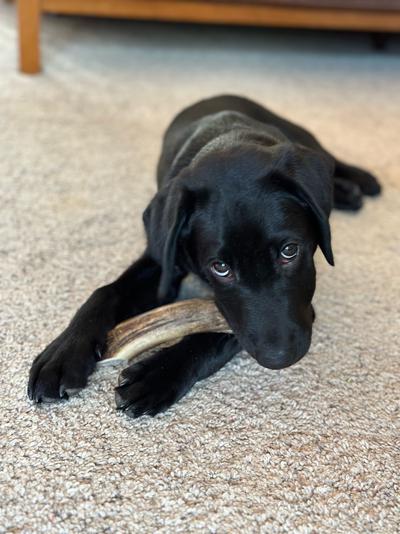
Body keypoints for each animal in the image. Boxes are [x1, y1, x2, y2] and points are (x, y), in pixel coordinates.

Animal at [28, 94, 382, 416]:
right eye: (220, 267)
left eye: (289, 251)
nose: (281, 358)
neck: (228, 137)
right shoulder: (162, 260)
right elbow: (104, 293)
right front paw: (62, 354)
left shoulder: (303, 303)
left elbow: (219, 333)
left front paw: (156, 375)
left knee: (331, 156)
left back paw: (361, 182)